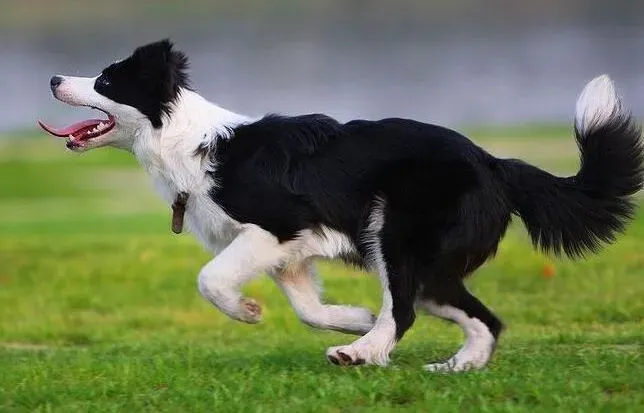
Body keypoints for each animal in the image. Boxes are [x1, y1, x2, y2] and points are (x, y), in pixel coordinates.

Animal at [40, 40, 644, 370]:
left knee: (405, 309)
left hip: (396, 238)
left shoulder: (275, 226)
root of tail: (496, 163)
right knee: (479, 317)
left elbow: (210, 279)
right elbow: (308, 309)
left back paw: (364, 354)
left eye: (105, 80)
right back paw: (453, 366)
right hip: (428, 267)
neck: (185, 142)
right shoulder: (288, 253)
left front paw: (249, 312)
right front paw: (351, 319)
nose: (52, 77)